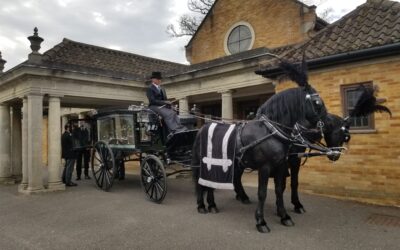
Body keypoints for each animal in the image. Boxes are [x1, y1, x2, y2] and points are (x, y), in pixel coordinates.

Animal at [192, 60, 330, 232]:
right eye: (317, 102)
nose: (328, 125)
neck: (270, 131)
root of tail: (202, 127)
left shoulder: (280, 166)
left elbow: (279, 190)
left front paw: (284, 216)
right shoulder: (265, 167)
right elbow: (262, 193)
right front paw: (261, 221)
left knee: (210, 183)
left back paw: (212, 205)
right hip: (204, 162)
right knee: (202, 182)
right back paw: (201, 206)